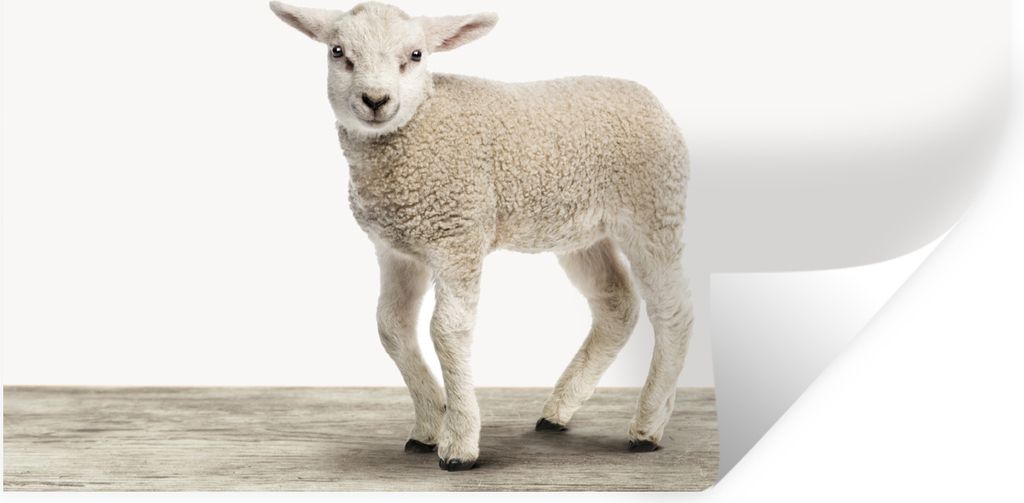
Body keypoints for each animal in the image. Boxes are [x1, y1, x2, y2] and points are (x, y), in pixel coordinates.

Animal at [270, 1, 693, 472]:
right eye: (338, 51)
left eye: (416, 55)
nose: (376, 101)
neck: (420, 126)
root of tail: (648, 96)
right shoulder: (396, 249)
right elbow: (391, 328)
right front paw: (428, 423)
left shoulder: (459, 236)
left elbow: (446, 331)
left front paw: (459, 442)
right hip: (581, 230)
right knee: (616, 303)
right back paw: (559, 411)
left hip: (652, 210)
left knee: (673, 311)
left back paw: (648, 426)